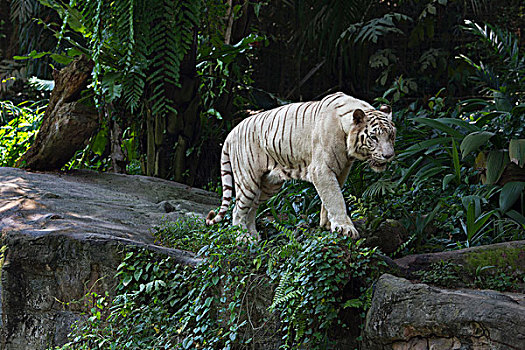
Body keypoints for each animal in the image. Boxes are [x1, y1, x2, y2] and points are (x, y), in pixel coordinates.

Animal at [207, 91, 396, 242]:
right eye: (374, 137)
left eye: (391, 136)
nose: (389, 155)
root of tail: (231, 132)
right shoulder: (321, 170)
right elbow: (335, 198)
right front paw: (345, 228)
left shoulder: (341, 171)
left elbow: (330, 198)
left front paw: (327, 224)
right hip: (248, 180)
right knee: (237, 210)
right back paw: (242, 237)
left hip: (269, 185)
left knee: (251, 208)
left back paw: (254, 236)